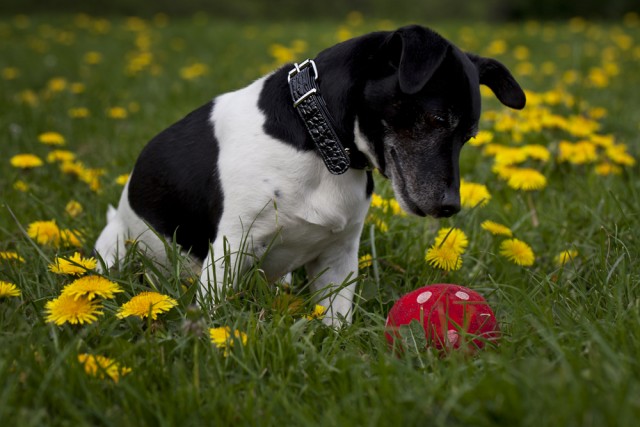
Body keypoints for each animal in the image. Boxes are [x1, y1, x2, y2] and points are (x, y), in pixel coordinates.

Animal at [95, 25, 524, 328]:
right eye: (436, 119)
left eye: (469, 136)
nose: (451, 206)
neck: (322, 145)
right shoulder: (231, 247)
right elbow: (212, 310)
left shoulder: (339, 257)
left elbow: (337, 320)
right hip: (114, 251)